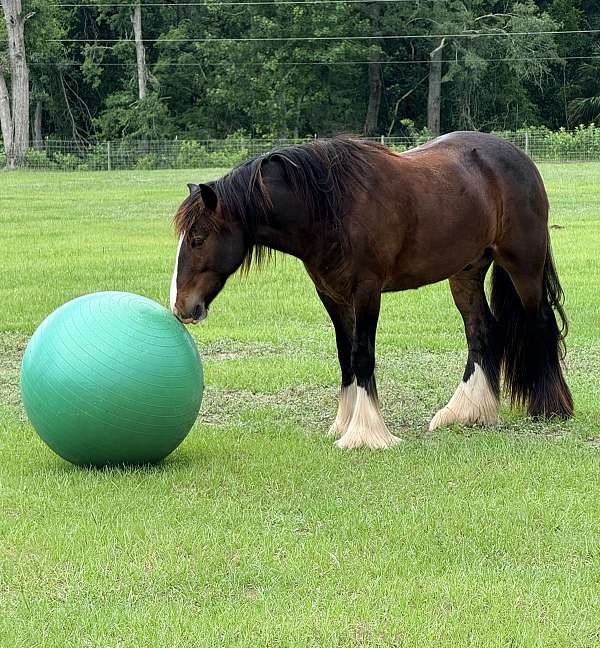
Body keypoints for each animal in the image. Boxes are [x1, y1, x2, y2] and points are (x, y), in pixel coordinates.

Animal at [170, 133, 573, 449]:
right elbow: (344, 356)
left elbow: (362, 355)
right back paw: (466, 412)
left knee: (540, 322)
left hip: (523, 264)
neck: (330, 207)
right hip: (466, 272)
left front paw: (365, 433)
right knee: (480, 332)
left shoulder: (366, 291)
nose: (181, 307)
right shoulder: (331, 295)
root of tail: (518, 158)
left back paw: (551, 407)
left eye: (198, 238)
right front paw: (343, 423)